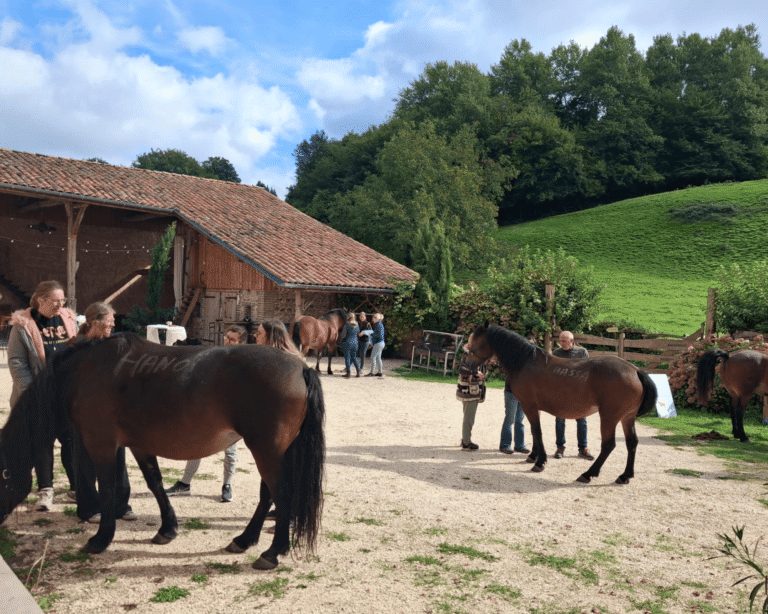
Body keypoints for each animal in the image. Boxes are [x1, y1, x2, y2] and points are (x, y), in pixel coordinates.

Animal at [0, 333, 324, 570]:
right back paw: (244, 540)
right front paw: (167, 529)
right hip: (273, 451)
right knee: (268, 494)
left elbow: (107, 489)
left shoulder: (101, 445)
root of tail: (301, 367)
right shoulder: (139, 446)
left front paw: (100, 540)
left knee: (280, 494)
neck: (83, 373)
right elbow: (155, 484)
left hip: (266, 451)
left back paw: (272, 552)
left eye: (3, 477)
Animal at [464, 324, 658, 484]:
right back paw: (625, 476)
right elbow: (534, 432)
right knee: (632, 443)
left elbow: (537, 432)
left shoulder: (529, 405)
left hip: (609, 417)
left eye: (474, 343)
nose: (466, 366)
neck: (526, 362)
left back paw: (587, 474)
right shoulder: (533, 407)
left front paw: (540, 462)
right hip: (627, 417)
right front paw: (533, 456)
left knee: (609, 445)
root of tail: (635, 370)